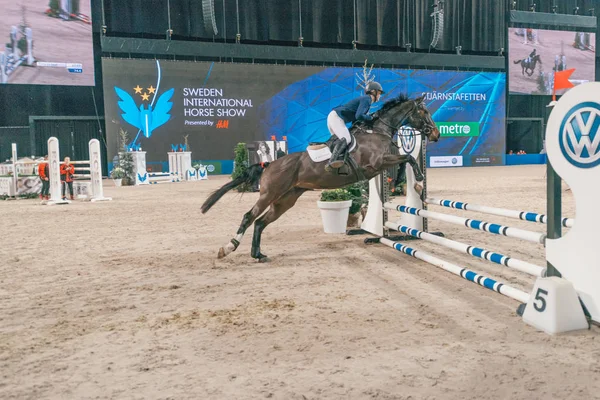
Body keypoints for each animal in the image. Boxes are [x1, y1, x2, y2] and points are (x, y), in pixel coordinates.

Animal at [199, 94, 438, 262]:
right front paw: (417, 181)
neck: (378, 131)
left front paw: (402, 183)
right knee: (249, 217)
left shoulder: (381, 164)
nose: (436, 134)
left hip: (286, 199)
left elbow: (404, 160)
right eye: (425, 111)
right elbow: (408, 157)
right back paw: (228, 248)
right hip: (271, 193)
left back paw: (258, 254)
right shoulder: (376, 165)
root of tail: (270, 164)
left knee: (260, 222)